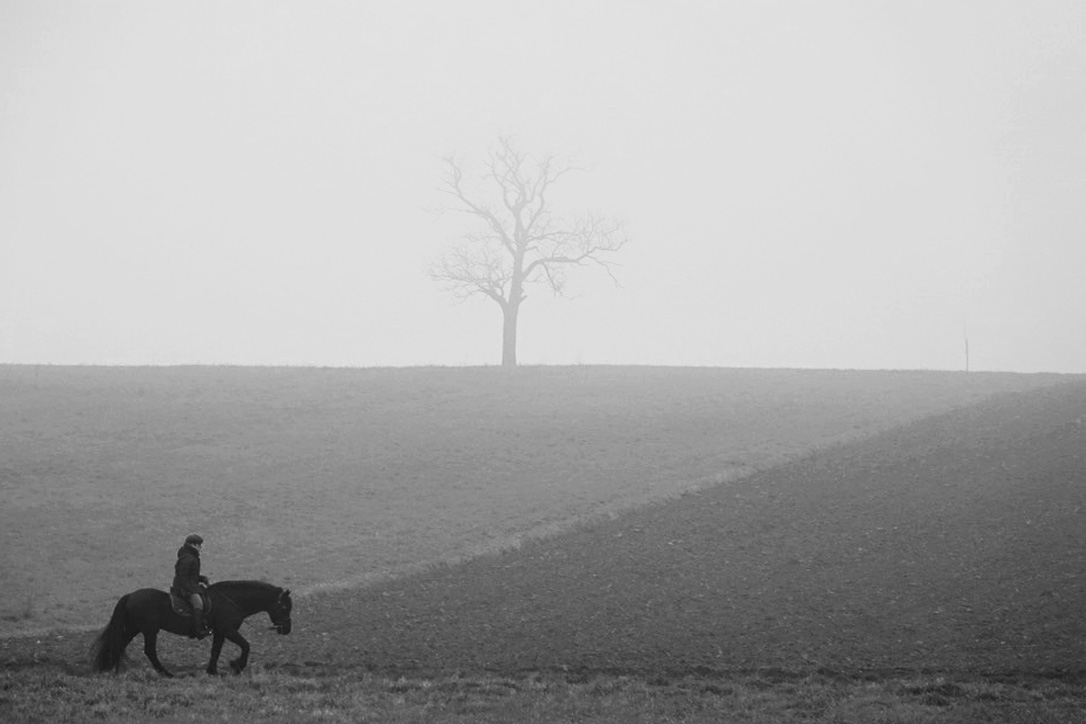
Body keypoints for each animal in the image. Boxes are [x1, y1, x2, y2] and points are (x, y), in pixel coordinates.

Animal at [90, 581, 293, 677]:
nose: (287, 630)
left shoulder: (220, 632)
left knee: (120, 644)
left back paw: (111, 669)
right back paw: (167, 674)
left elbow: (215, 651)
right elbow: (246, 645)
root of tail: (131, 595)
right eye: (285, 607)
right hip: (149, 630)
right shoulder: (228, 630)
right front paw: (237, 666)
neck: (231, 600)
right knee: (149, 651)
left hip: (135, 628)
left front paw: (213, 671)